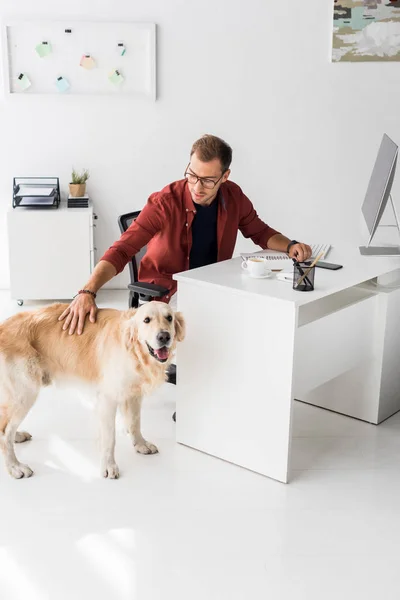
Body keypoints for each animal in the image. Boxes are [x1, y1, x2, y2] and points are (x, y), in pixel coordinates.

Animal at [0, 302, 184, 480]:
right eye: (146, 320)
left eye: (169, 318)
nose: (164, 337)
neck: (133, 350)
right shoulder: (108, 398)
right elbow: (110, 438)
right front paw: (109, 466)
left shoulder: (133, 394)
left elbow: (134, 422)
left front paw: (140, 444)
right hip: (25, 391)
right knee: (5, 432)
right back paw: (15, 467)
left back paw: (17, 436)